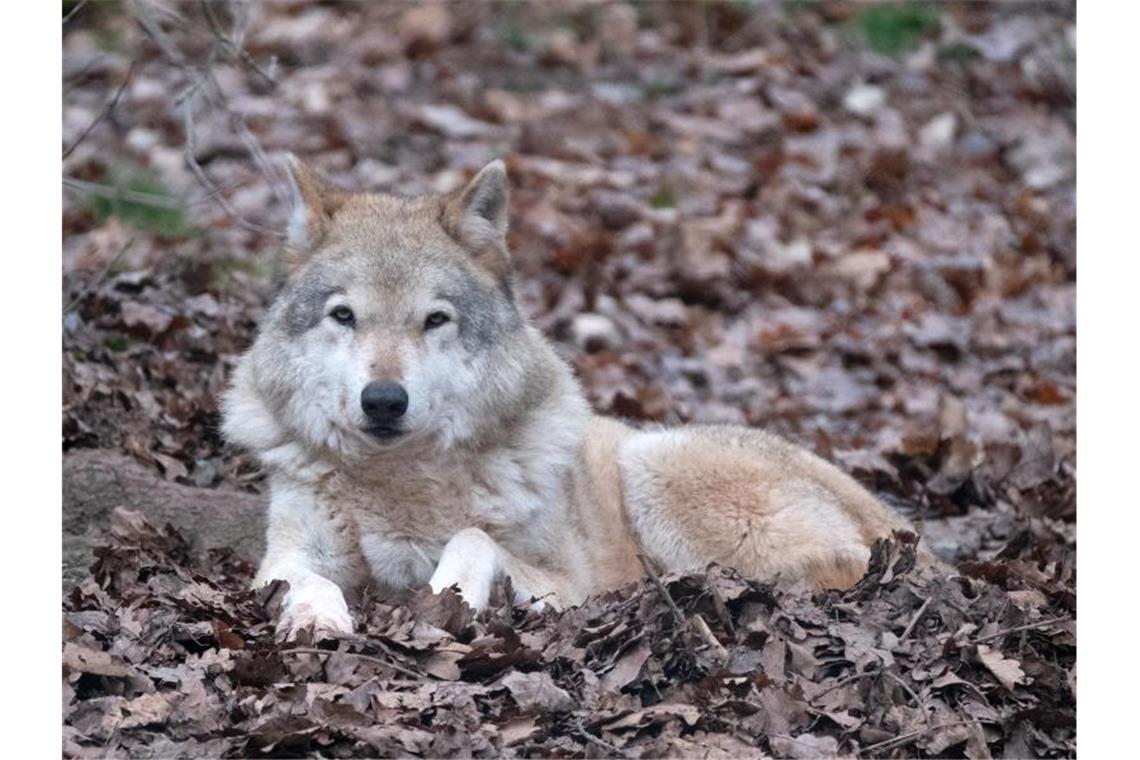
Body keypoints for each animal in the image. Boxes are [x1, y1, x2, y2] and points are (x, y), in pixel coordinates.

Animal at [220, 157, 925, 638]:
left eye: (435, 320)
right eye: (344, 316)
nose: (384, 401)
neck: (402, 482)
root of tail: (898, 524)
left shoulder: (564, 582)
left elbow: (472, 540)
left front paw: (445, 598)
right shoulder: (288, 555)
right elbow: (305, 580)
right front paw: (317, 619)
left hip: (652, 464)